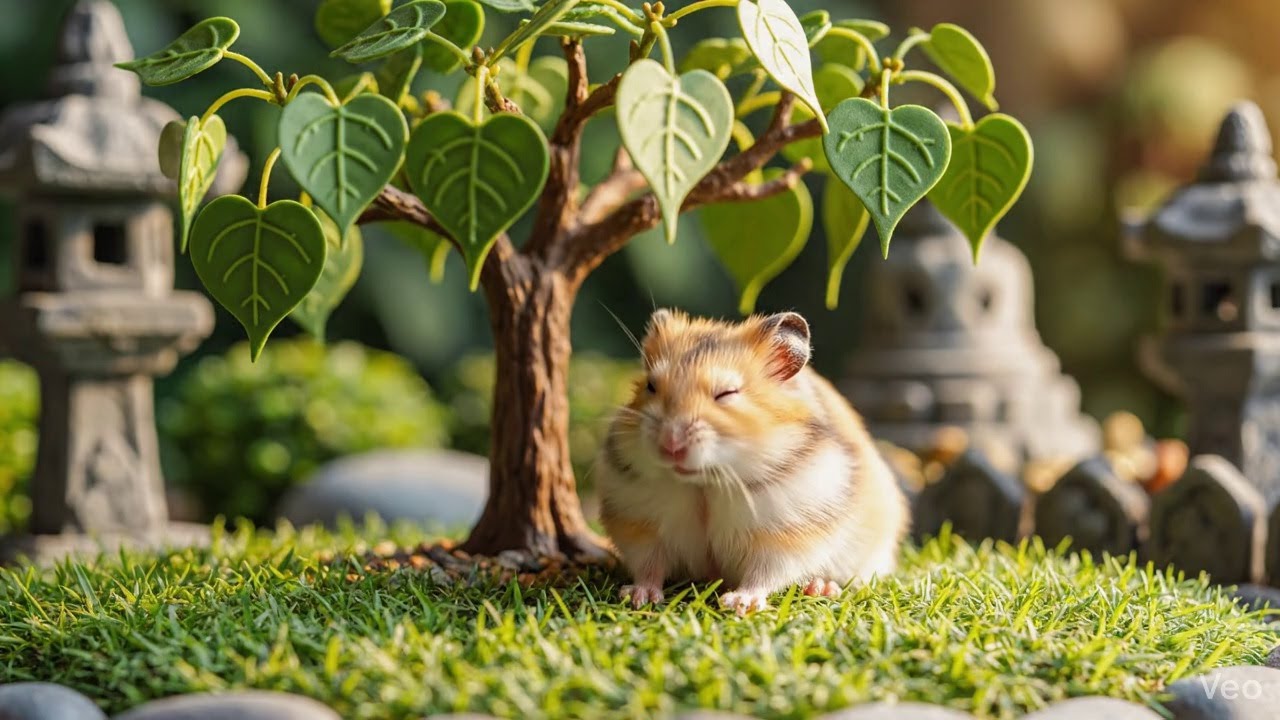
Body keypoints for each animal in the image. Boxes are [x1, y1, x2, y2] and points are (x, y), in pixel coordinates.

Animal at [596, 308, 909, 615]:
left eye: (726, 393)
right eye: (651, 386)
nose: (670, 444)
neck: (704, 483)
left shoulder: (784, 536)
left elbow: (764, 573)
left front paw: (738, 604)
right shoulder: (641, 526)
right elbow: (649, 565)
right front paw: (638, 598)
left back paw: (820, 587)